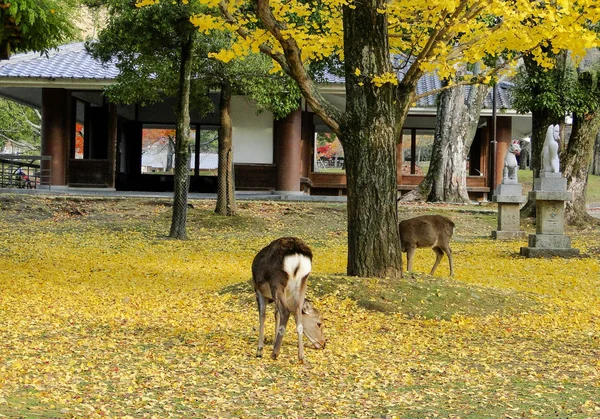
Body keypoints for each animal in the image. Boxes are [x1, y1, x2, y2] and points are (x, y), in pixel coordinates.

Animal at [251, 236, 326, 364]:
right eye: (319, 323)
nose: (324, 343)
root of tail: (298, 255)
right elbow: (276, 314)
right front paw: (273, 340)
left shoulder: (259, 291)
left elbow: (262, 316)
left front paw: (259, 350)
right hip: (303, 283)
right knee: (297, 314)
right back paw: (301, 356)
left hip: (277, 282)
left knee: (286, 311)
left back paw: (274, 353)